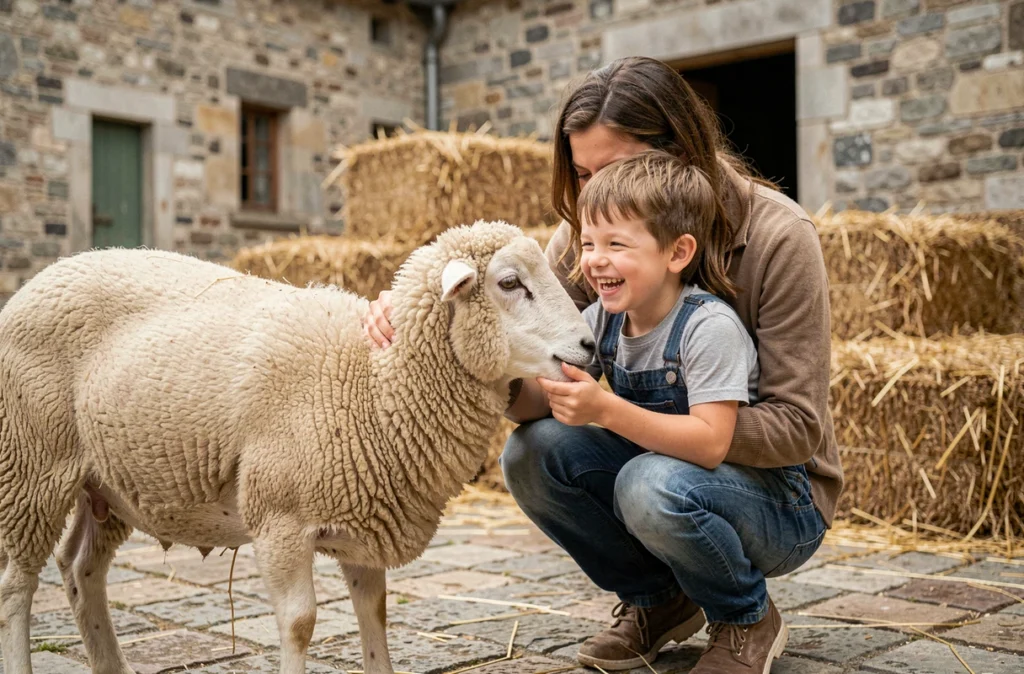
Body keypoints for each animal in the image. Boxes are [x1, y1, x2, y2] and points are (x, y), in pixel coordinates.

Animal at [0, 220, 596, 674]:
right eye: (509, 282)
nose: (589, 345)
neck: (372, 380)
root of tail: (43, 277)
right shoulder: (280, 519)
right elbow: (300, 623)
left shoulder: (364, 518)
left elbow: (376, 615)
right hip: (32, 464)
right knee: (16, 585)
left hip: (108, 481)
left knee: (81, 570)